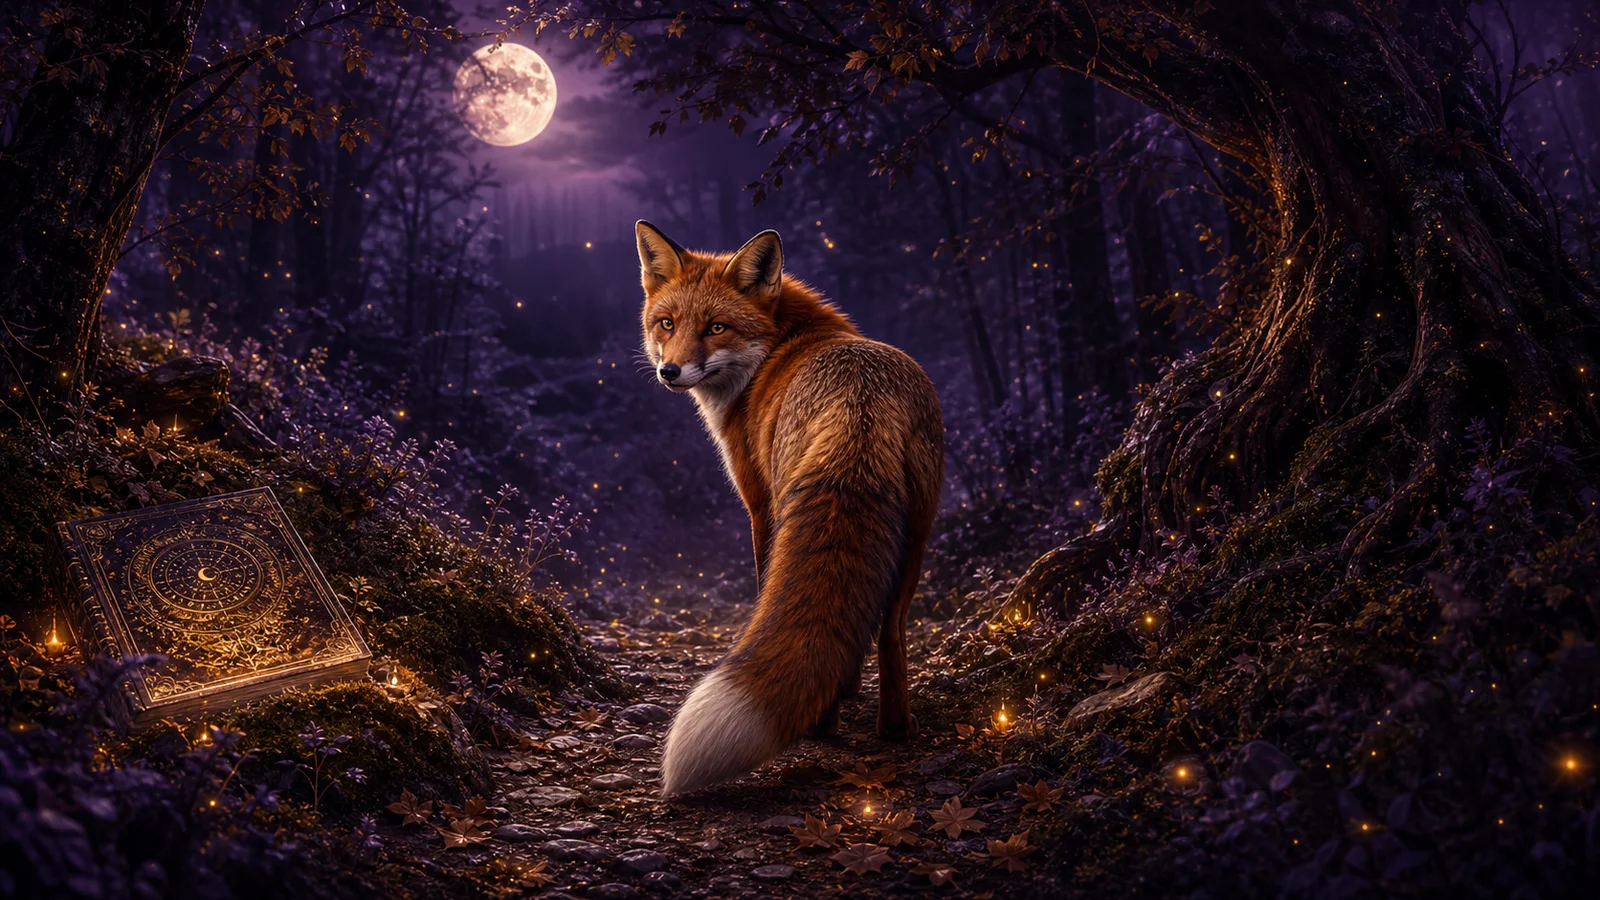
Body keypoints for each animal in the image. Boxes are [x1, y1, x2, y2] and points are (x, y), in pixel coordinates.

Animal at [635, 220, 944, 797]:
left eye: (716, 327)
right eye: (667, 323)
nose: (670, 371)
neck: (777, 350)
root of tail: (860, 402)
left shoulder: (758, 505)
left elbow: (764, 585)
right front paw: (847, 687)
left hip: (789, 505)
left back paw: (822, 726)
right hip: (917, 535)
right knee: (891, 632)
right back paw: (895, 729)